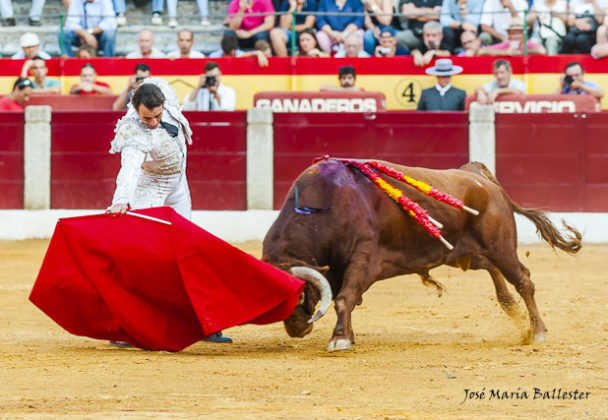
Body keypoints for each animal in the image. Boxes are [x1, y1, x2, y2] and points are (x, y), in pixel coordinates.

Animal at [262, 158, 584, 352]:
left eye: (299, 295)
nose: (296, 329)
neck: (326, 204)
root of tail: (479, 176)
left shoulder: (362, 258)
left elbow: (344, 298)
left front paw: (340, 339)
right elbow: (348, 300)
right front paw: (348, 336)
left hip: (500, 245)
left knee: (523, 279)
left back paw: (537, 331)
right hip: (466, 252)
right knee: (494, 271)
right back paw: (512, 309)